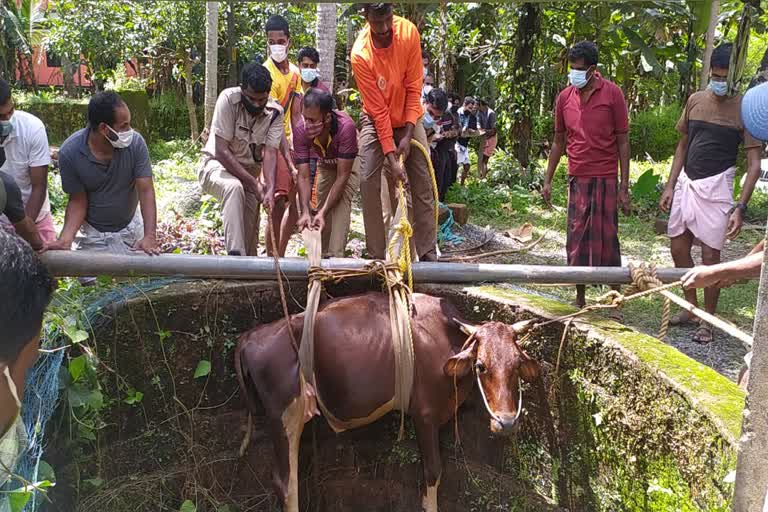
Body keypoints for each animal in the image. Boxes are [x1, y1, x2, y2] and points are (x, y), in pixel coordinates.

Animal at [236, 292, 540, 512]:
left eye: (517, 364)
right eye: (480, 366)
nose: (507, 422)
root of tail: (251, 335)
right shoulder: (424, 415)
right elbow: (433, 472)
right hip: (285, 415)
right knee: (286, 482)